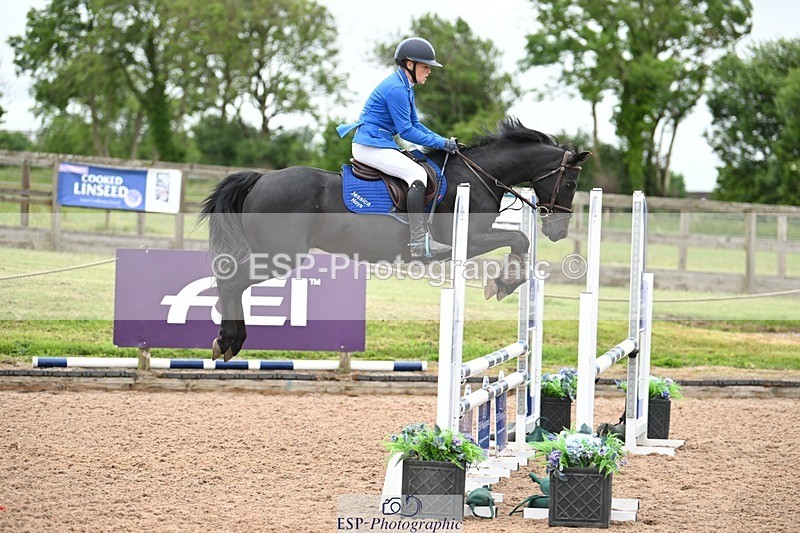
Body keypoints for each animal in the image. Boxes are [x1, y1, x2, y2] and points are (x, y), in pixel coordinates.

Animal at [199, 118, 590, 361]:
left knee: (230, 281)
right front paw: (505, 282)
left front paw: (505, 281)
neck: (478, 176)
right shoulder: (468, 238)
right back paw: (229, 342)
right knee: (231, 282)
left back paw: (226, 341)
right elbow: (520, 239)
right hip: (280, 255)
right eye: (571, 183)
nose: (558, 231)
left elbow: (520, 241)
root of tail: (260, 179)